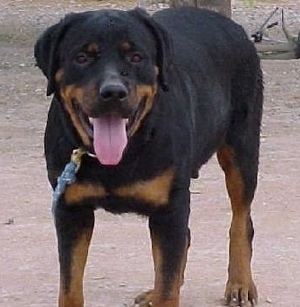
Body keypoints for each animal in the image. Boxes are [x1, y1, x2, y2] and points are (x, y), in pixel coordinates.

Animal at [34, 5, 262, 307]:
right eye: (81, 58)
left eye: (136, 57)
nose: (113, 92)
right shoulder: (70, 209)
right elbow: (70, 287)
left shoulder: (169, 208)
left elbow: (168, 283)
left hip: (242, 149)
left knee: (241, 220)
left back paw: (240, 284)